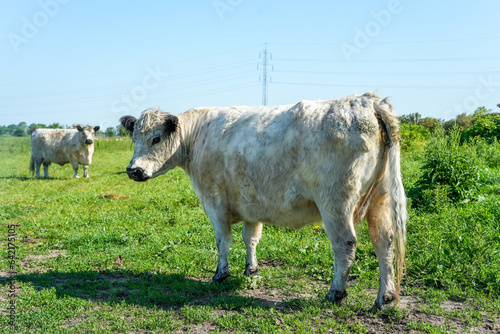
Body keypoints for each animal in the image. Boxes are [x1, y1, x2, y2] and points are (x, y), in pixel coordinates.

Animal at [120, 92, 406, 310]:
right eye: (133, 139)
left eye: (156, 138)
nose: (133, 170)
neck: (197, 136)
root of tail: (368, 100)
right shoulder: (251, 203)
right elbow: (250, 238)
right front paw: (252, 269)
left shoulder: (214, 201)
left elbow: (223, 240)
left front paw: (221, 274)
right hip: (379, 201)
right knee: (385, 242)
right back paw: (384, 297)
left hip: (335, 203)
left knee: (345, 245)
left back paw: (335, 293)